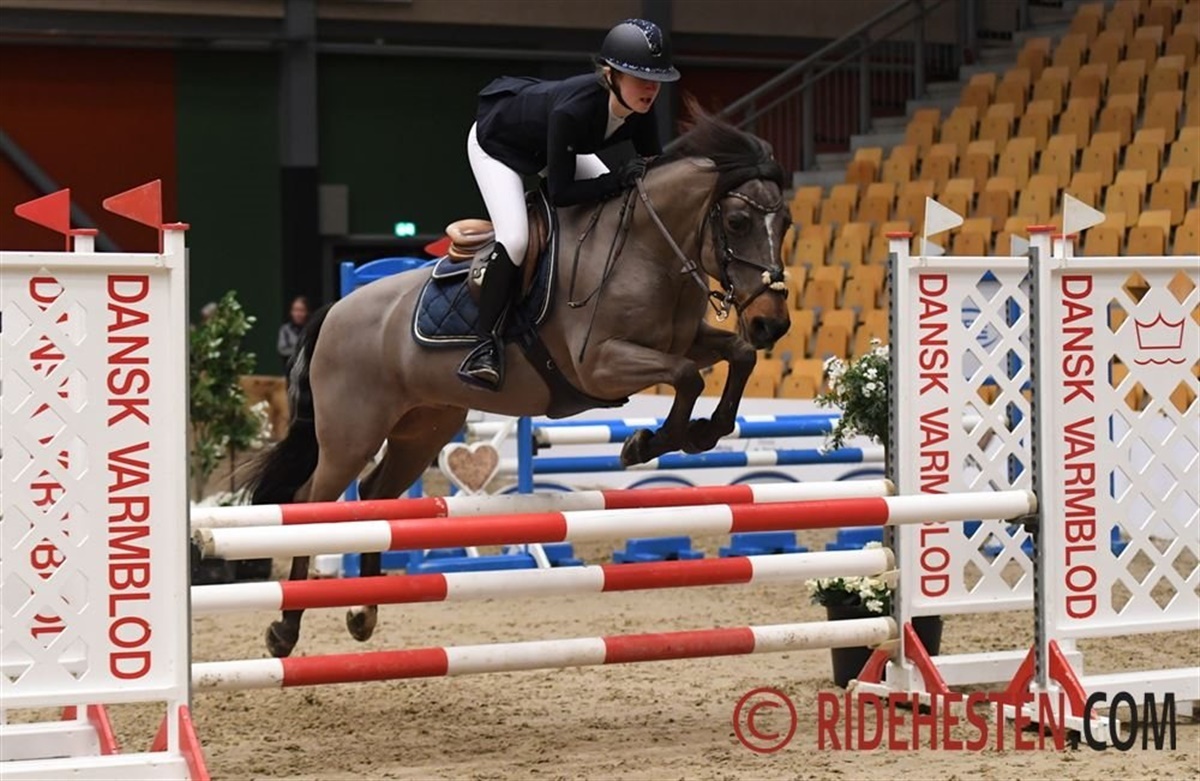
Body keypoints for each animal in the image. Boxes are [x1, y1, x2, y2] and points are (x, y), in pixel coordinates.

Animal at [245, 107, 793, 658]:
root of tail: (335, 311)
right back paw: (284, 629)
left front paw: (701, 433)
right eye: (738, 222)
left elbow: (737, 356)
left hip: (421, 431)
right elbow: (685, 378)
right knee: (308, 504)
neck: (647, 248)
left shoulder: (686, 341)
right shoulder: (599, 363)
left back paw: (364, 611)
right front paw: (645, 443)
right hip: (350, 434)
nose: (773, 323)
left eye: (786, 223)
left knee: (375, 493)